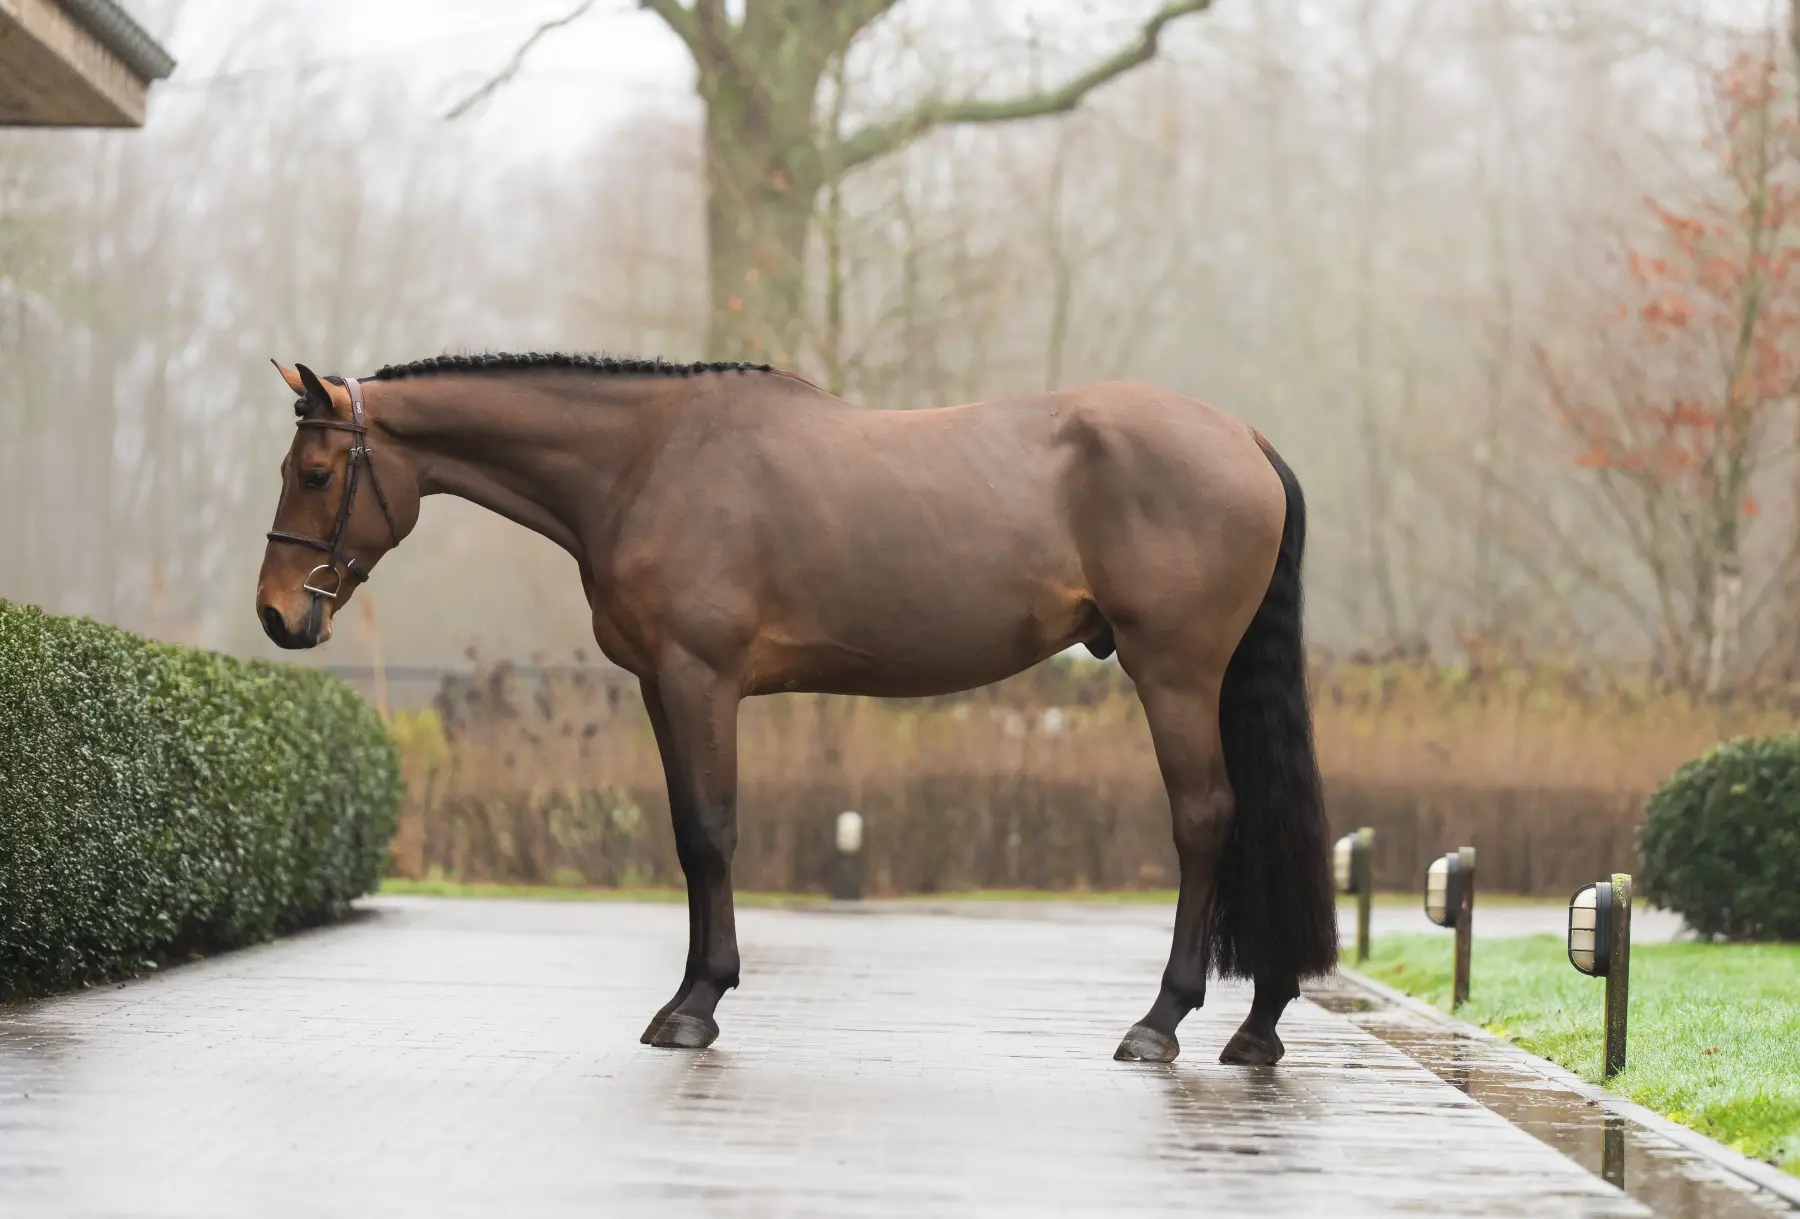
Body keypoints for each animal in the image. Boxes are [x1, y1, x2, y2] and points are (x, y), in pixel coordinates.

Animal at [255, 353, 1337, 1063]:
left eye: (315, 472)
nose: (276, 614)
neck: (648, 458)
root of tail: (1245, 440)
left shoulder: (700, 677)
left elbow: (709, 830)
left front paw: (696, 1006)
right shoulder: (660, 684)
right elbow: (689, 833)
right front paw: (690, 995)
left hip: (1176, 671)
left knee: (1206, 820)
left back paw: (1161, 1023)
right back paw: (1259, 1023)